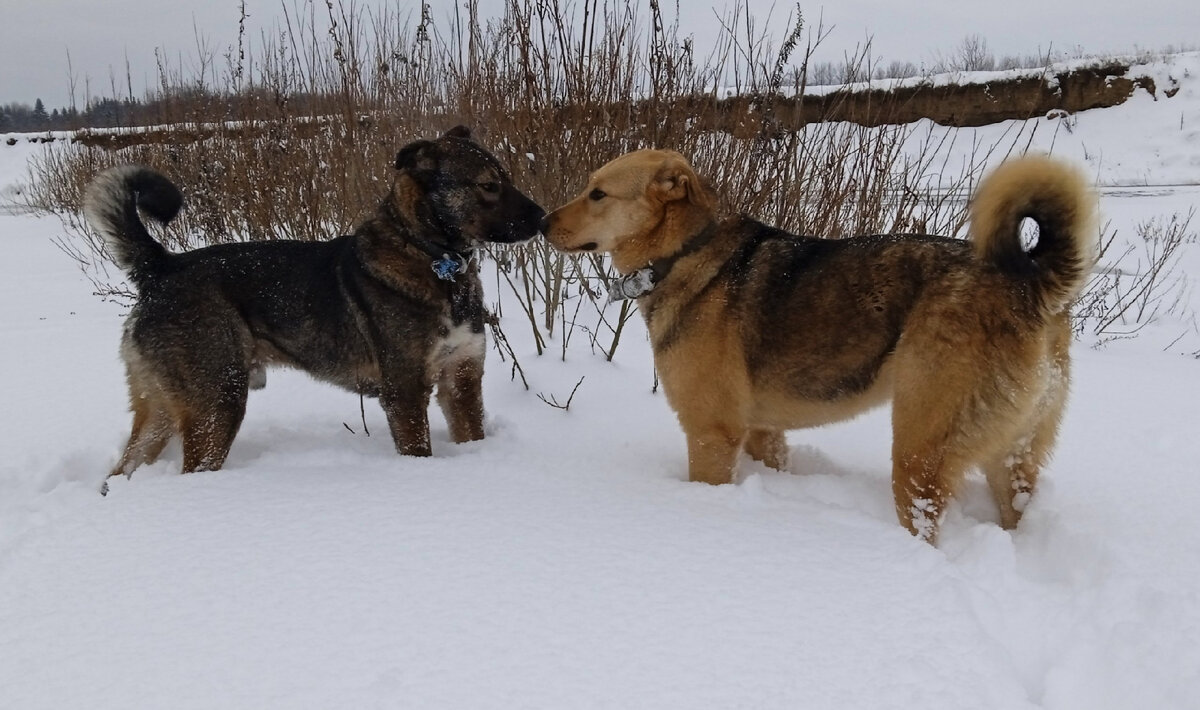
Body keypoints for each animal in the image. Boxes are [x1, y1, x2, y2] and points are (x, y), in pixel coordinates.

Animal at [79, 125, 540, 489]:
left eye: (506, 177)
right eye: (488, 185)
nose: (542, 217)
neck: (432, 259)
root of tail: (161, 267)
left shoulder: (461, 379)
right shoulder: (406, 391)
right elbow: (417, 448)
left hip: (161, 406)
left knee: (120, 472)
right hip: (216, 403)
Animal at [544, 151, 1099, 544]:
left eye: (597, 194)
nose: (541, 221)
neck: (683, 253)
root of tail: (1029, 284)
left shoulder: (711, 433)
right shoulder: (762, 431)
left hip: (921, 449)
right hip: (1013, 453)